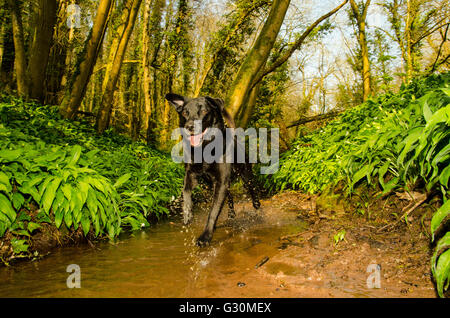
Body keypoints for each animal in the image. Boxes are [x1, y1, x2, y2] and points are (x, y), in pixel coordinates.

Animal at [165, 92, 260, 246]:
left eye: (204, 111)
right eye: (185, 113)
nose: (189, 126)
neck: (204, 149)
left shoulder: (222, 181)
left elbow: (213, 211)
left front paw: (205, 236)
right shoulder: (191, 174)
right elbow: (186, 192)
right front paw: (187, 215)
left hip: (246, 175)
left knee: (253, 193)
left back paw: (257, 210)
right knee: (230, 197)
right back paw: (231, 215)